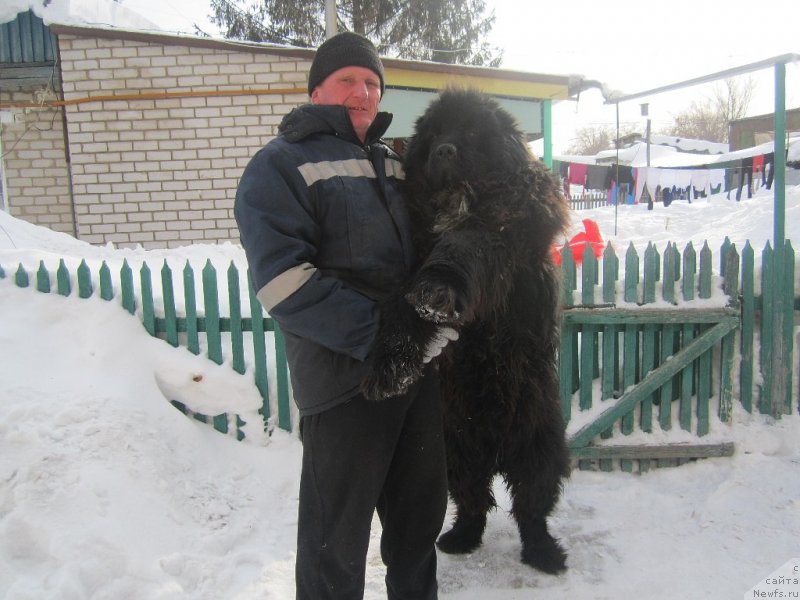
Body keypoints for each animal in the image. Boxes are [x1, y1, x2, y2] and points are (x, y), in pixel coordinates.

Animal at [362, 88, 568, 572]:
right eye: (435, 133)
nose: (444, 150)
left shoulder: (501, 227)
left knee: (531, 504)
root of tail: (496, 447)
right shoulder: (413, 252)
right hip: (456, 445)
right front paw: (390, 365)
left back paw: (543, 552)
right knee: (474, 499)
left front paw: (440, 286)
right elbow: (401, 308)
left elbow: (465, 246)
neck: (457, 201)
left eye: (473, 132)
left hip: (538, 438)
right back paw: (460, 537)